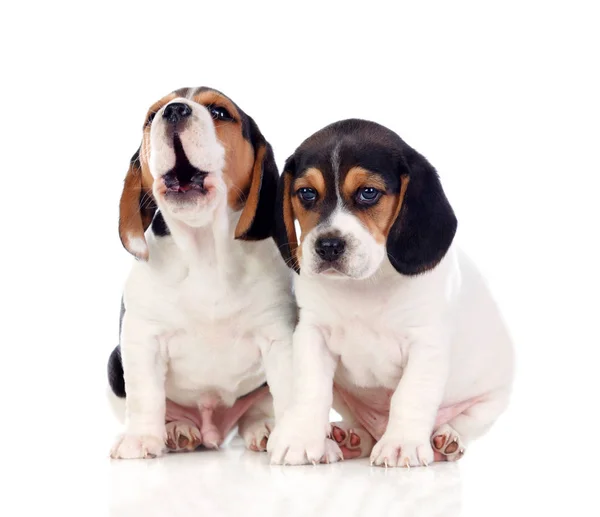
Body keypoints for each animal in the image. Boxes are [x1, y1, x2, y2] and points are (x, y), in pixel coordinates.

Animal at [109, 86, 296, 458]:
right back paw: (177, 429)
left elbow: (288, 393)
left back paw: (263, 429)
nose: (173, 111)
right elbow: (145, 396)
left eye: (220, 112)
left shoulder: (279, 338)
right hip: (113, 366)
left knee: (258, 408)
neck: (204, 250)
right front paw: (140, 438)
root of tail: (213, 428)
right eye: (151, 116)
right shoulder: (141, 338)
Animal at [268, 119, 516, 466]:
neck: (366, 284)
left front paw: (402, 444)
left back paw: (445, 441)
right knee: (363, 429)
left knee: (462, 424)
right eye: (306, 193)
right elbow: (311, 390)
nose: (328, 246)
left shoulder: (426, 343)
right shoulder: (312, 333)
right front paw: (300, 438)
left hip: (490, 401)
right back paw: (351, 439)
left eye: (368, 193)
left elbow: (410, 396)